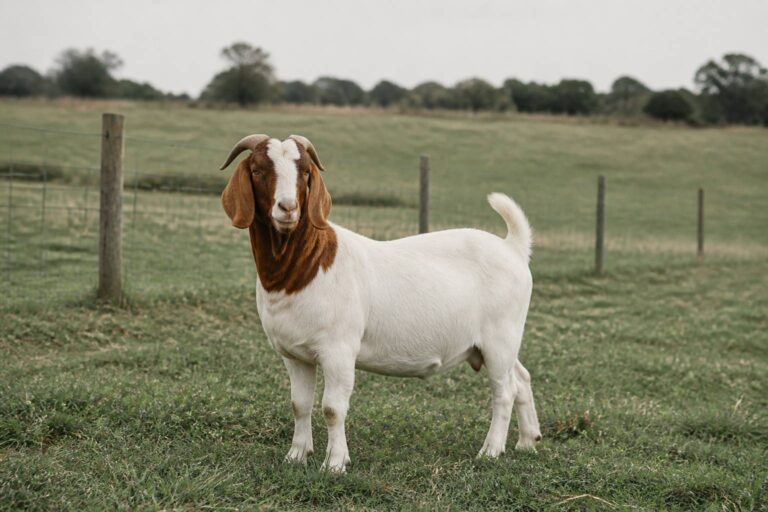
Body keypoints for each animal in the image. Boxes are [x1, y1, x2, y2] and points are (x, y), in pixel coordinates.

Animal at [220, 134, 541, 472]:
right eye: (257, 170)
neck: (306, 266)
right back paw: (527, 441)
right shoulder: (295, 355)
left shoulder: (339, 350)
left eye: (306, 172)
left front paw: (335, 464)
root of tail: (513, 247)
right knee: (521, 378)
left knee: (504, 390)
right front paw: (296, 455)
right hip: (496, 342)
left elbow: (332, 408)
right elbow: (299, 404)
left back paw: (491, 450)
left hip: (500, 336)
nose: (288, 208)